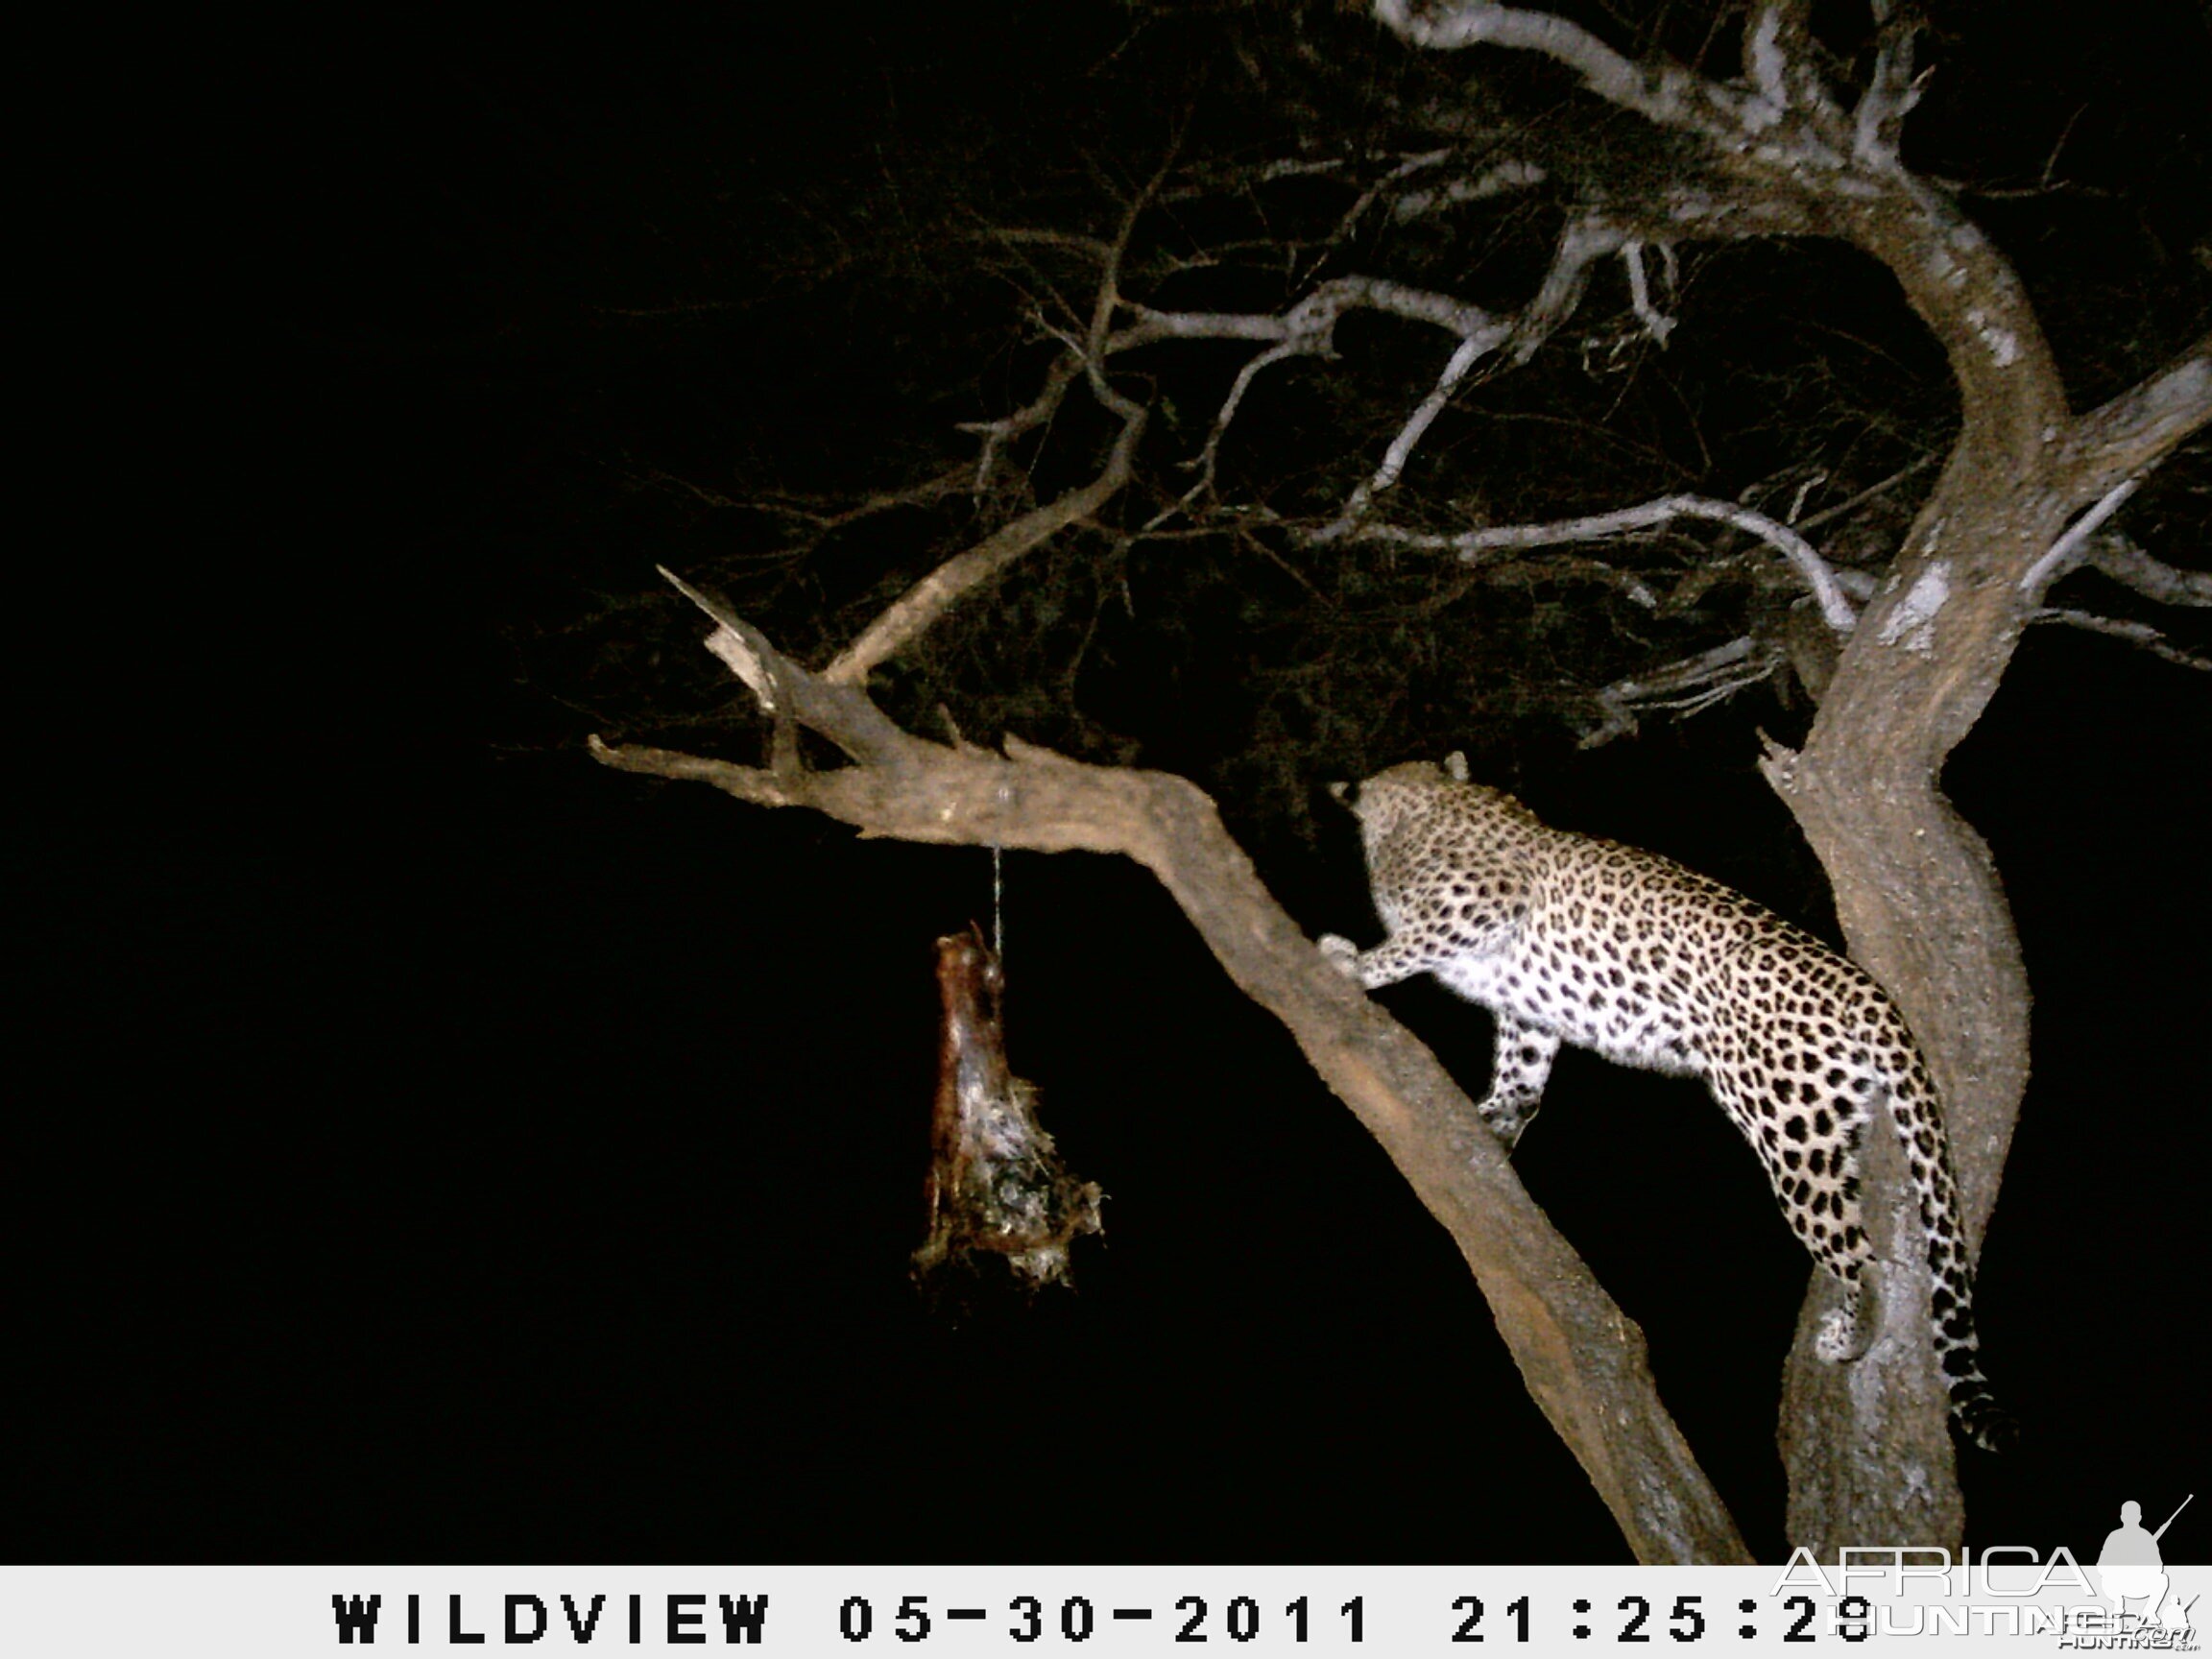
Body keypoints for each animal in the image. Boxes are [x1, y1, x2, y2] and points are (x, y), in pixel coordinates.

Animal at [1318, 752, 2017, 1451]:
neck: (1423, 806)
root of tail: (1863, 987)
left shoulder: (1482, 899)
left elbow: (1413, 944)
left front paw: (1353, 963)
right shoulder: (1529, 1013)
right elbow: (1521, 1075)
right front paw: (1494, 1123)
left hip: (1789, 1127)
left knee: (1863, 1259)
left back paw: (1849, 1337)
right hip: (1828, 1120)